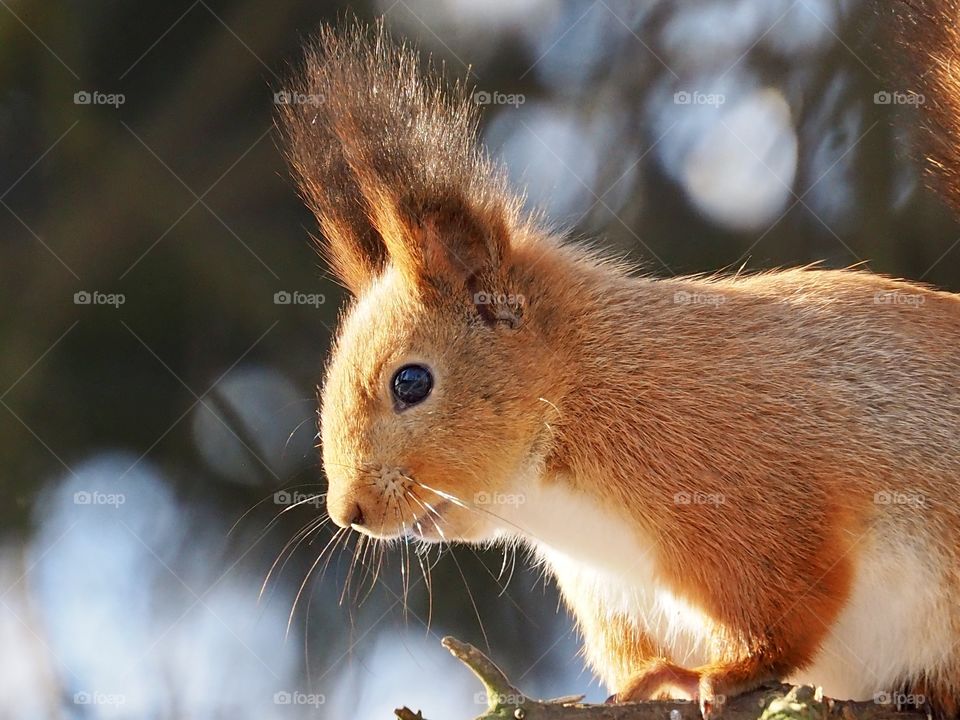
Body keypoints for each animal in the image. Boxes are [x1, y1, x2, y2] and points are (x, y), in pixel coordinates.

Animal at [279, 7, 960, 718]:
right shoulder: (613, 596)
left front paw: (733, 671)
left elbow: (786, 601)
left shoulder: (750, 493)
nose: (348, 513)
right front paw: (653, 681)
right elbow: (641, 659)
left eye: (411, 382)